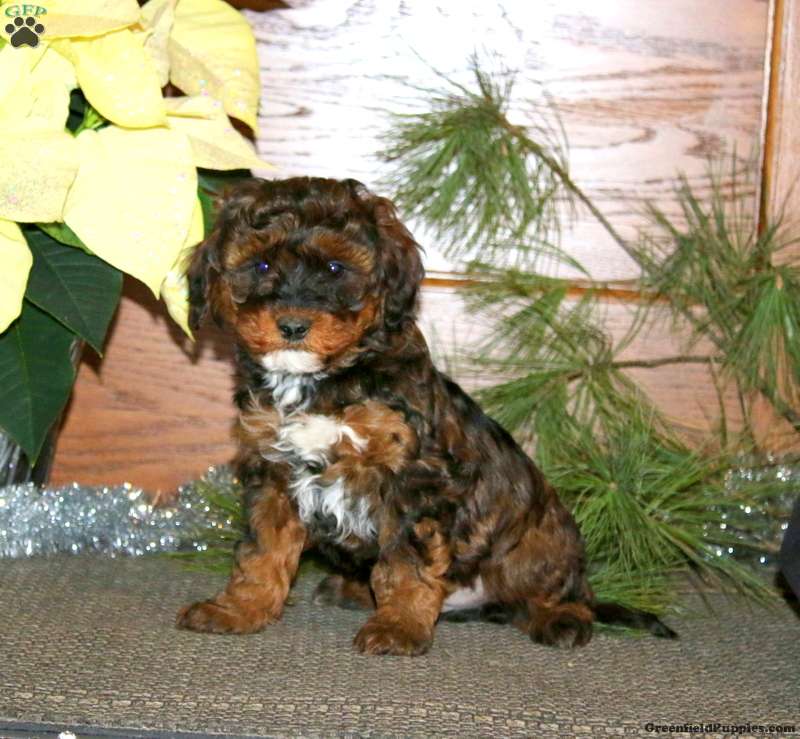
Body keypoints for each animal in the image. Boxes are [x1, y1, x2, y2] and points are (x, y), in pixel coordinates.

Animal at [176, 176, 676, 655]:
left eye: (335, 269)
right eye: (260, 265)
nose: (293, 326)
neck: (323, 381)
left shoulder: (413, 479)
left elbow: (405, 563)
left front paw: (398, 626)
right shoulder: (273, 471)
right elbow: (263, 549)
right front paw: (240, 609)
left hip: (537, 538)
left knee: (551, 588)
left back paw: (560, 617)